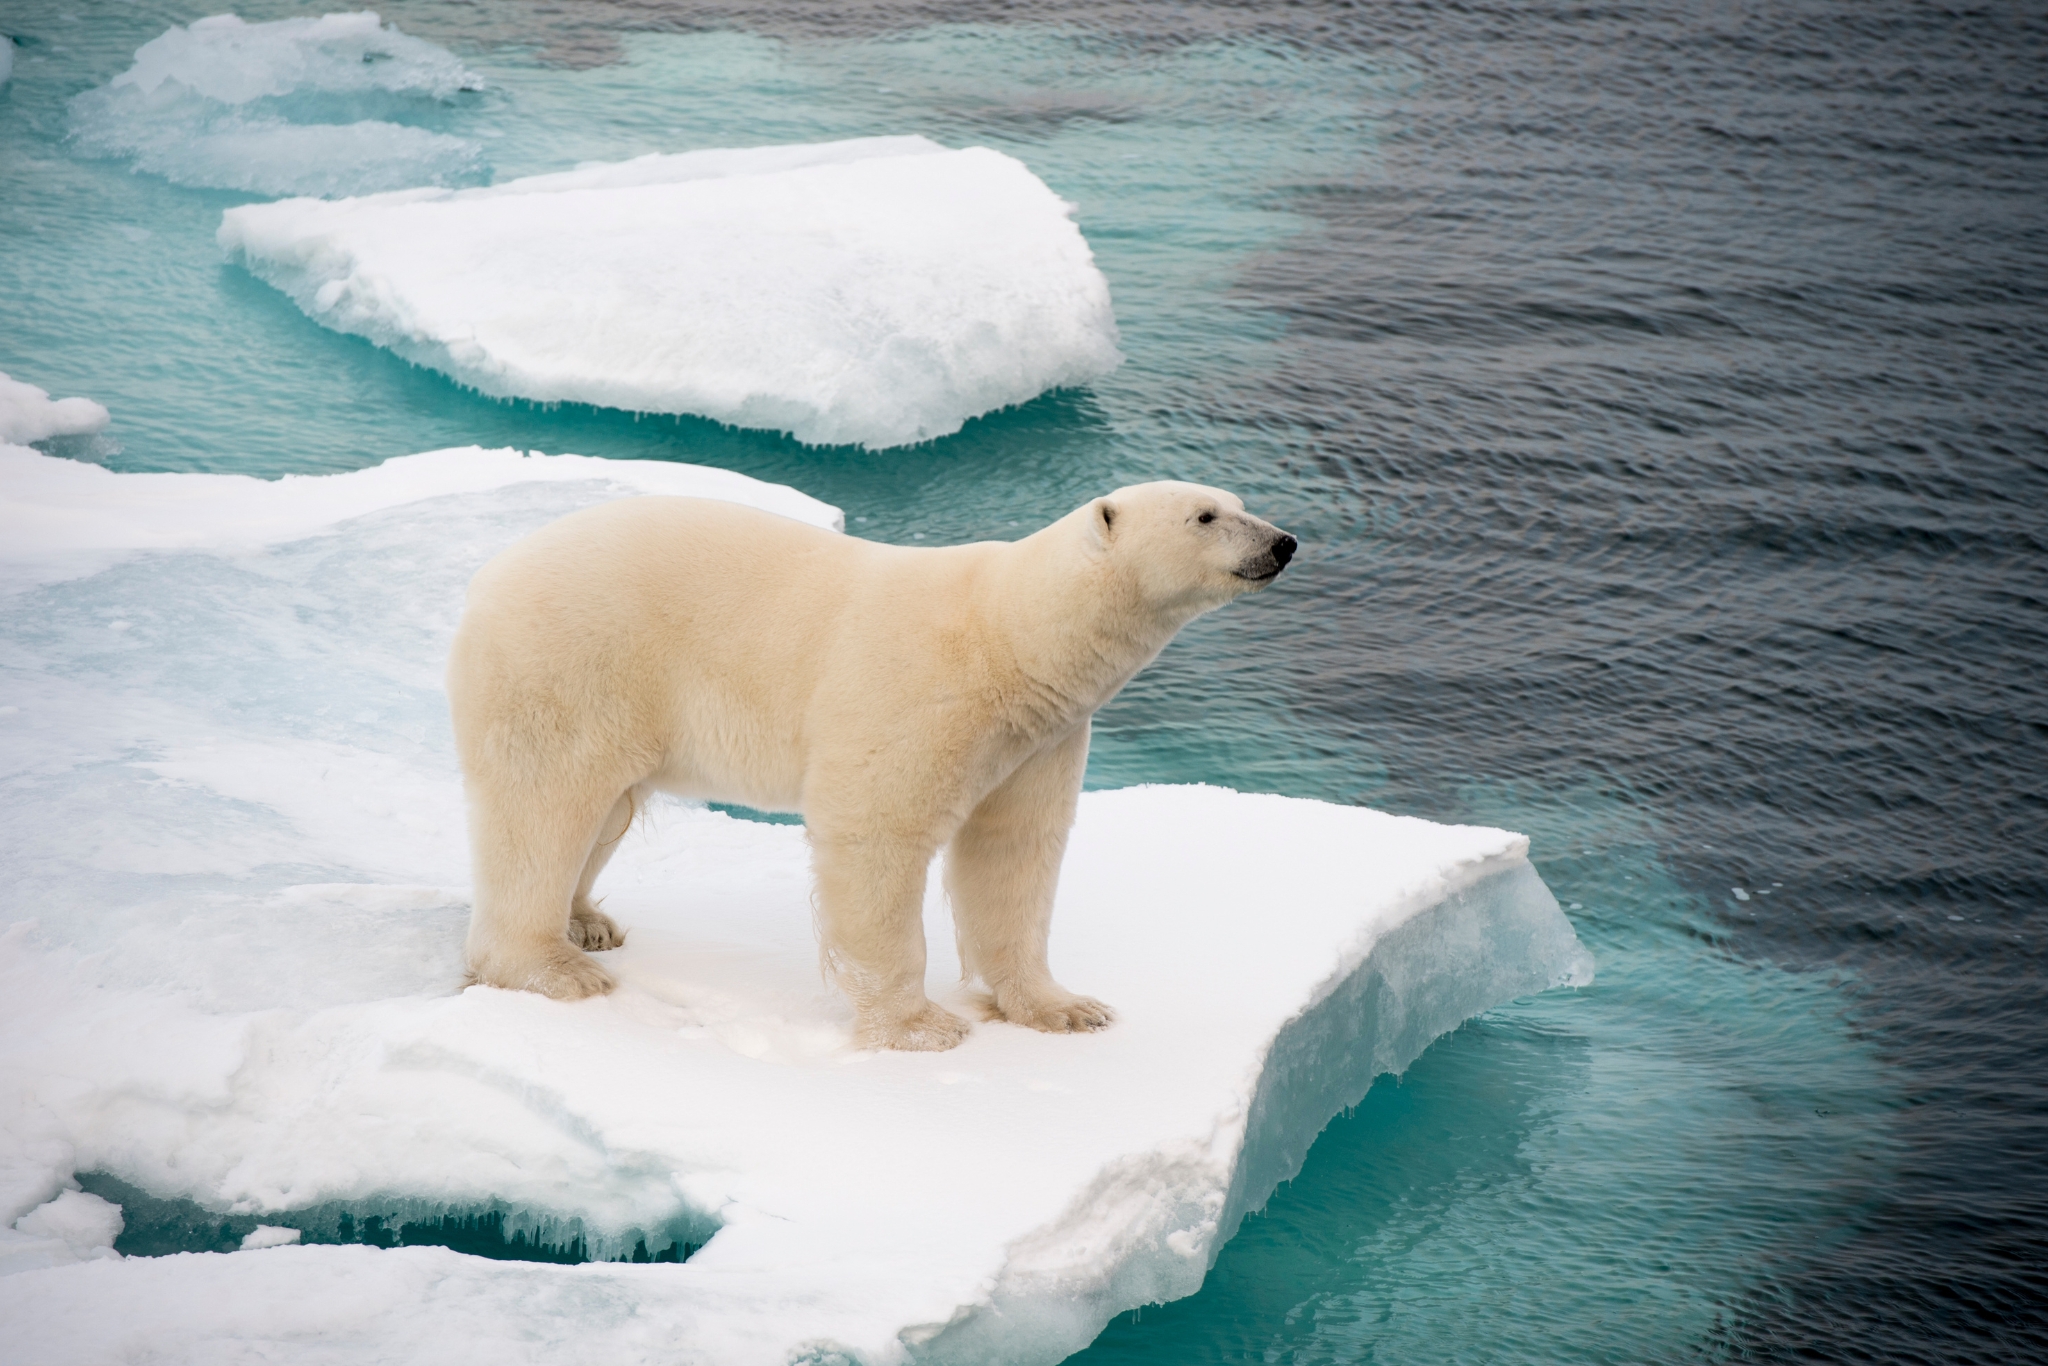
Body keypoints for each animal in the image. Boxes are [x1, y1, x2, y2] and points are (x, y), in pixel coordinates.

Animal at [447, 481, 1296, 1051]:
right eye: (1206, 515)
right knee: (547, 802)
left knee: (603, 811)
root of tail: (489, 575)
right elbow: (878, 834)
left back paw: (588, 922)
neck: (1011, 636)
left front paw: (1065, 1008)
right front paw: (922, 1027)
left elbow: (1014, 853)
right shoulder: (921, 691)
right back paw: (551, 967)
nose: (1283, 542)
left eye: (1239, 499)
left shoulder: (1038, 737)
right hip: (572, 661)